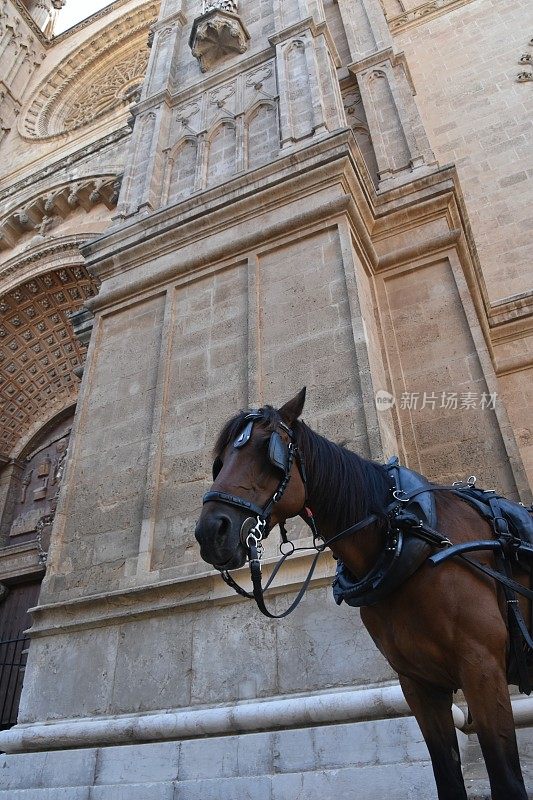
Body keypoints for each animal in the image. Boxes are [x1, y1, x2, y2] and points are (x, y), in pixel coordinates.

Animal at [194, 386, 528, 792]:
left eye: (266, 451)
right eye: (220, 459)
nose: (210, 532)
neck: (406, 538)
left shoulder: (483, 669)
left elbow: (507, 779)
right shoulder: (419, 684)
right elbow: (447, 777)